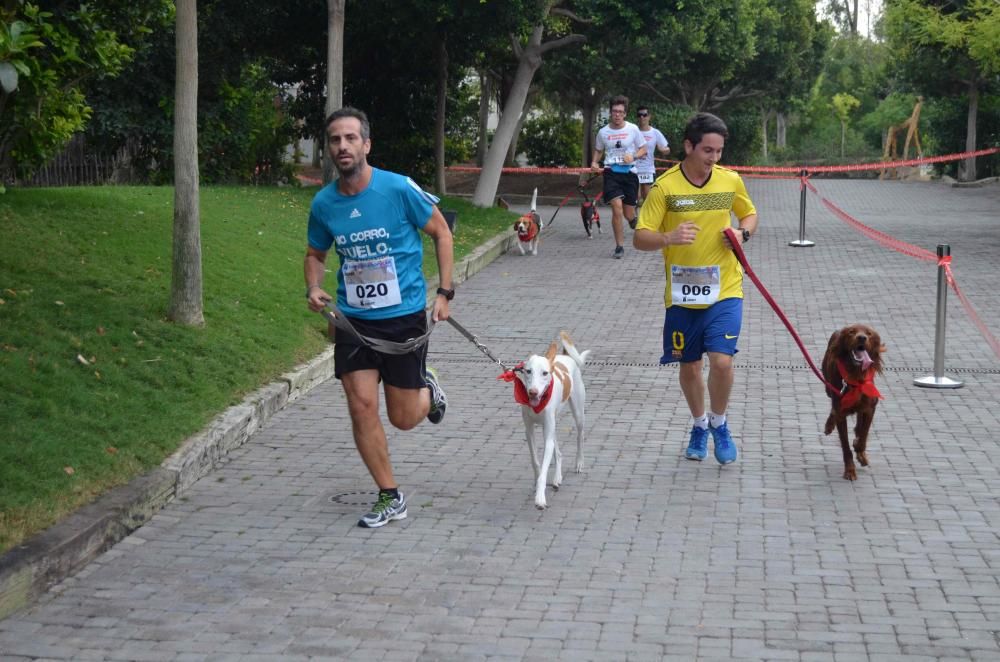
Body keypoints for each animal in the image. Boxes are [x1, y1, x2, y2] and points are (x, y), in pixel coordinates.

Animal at [824, 326, 888, 482]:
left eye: (869, 334)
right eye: (851, 332)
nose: (862, 338)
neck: (856, 376)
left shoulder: (871, 407)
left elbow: (863, 434)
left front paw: (859, 450)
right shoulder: (841, 412)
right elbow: (846, 447)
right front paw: (850, 471)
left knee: (859, 424)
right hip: (828, 388)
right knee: (834, 410)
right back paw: (829, 425)